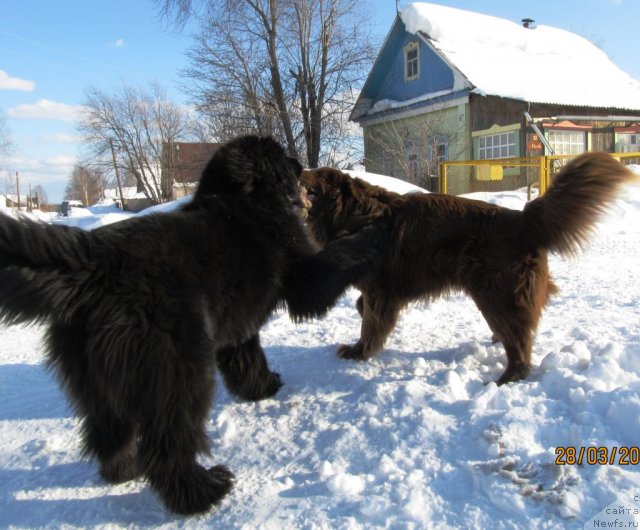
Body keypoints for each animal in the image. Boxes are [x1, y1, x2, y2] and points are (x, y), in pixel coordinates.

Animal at [0, 134, 388, 512]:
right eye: (280, 155)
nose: (298, 163)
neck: (246, 201)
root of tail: (98, 261)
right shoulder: (303, 277)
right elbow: (338, 256)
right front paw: (372, 235)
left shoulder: (237, 323)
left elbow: (248, 359)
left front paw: (261, 387)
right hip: (177, 370)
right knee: (167, 445)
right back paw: (201, 492)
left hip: (95, 381)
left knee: (108, 433)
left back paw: (125, 470)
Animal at [300, 153, 636, 384]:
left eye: (319, 175)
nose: (298, 168)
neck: (355, 212)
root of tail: (522, 219)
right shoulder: (384, 291)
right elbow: (363, 309)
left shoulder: (379, 291)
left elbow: (370, 324)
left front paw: (359, 352)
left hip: (495, 294)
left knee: (519, 343)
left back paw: (504, 379)